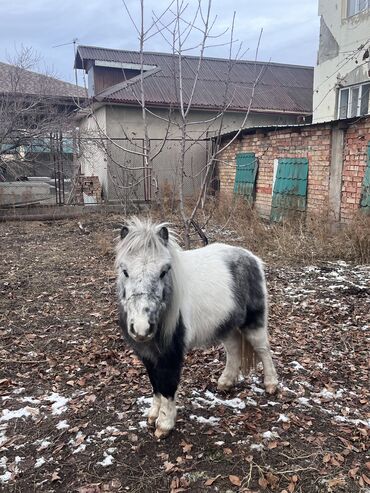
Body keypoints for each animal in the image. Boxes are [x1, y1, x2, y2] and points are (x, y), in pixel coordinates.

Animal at [115, 217, 278, 436]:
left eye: (164, 271)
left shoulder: (171, 353)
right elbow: (155, 383)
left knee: (263, 349)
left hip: (254, 323)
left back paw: (271, 384)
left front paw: (164, 424)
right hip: (225, 324)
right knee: (234, 348)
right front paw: (152, 415)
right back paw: (226, 382)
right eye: (124, 271)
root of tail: (252, 257)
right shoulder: (147, 354)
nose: (142, 328)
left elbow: (167, 386)